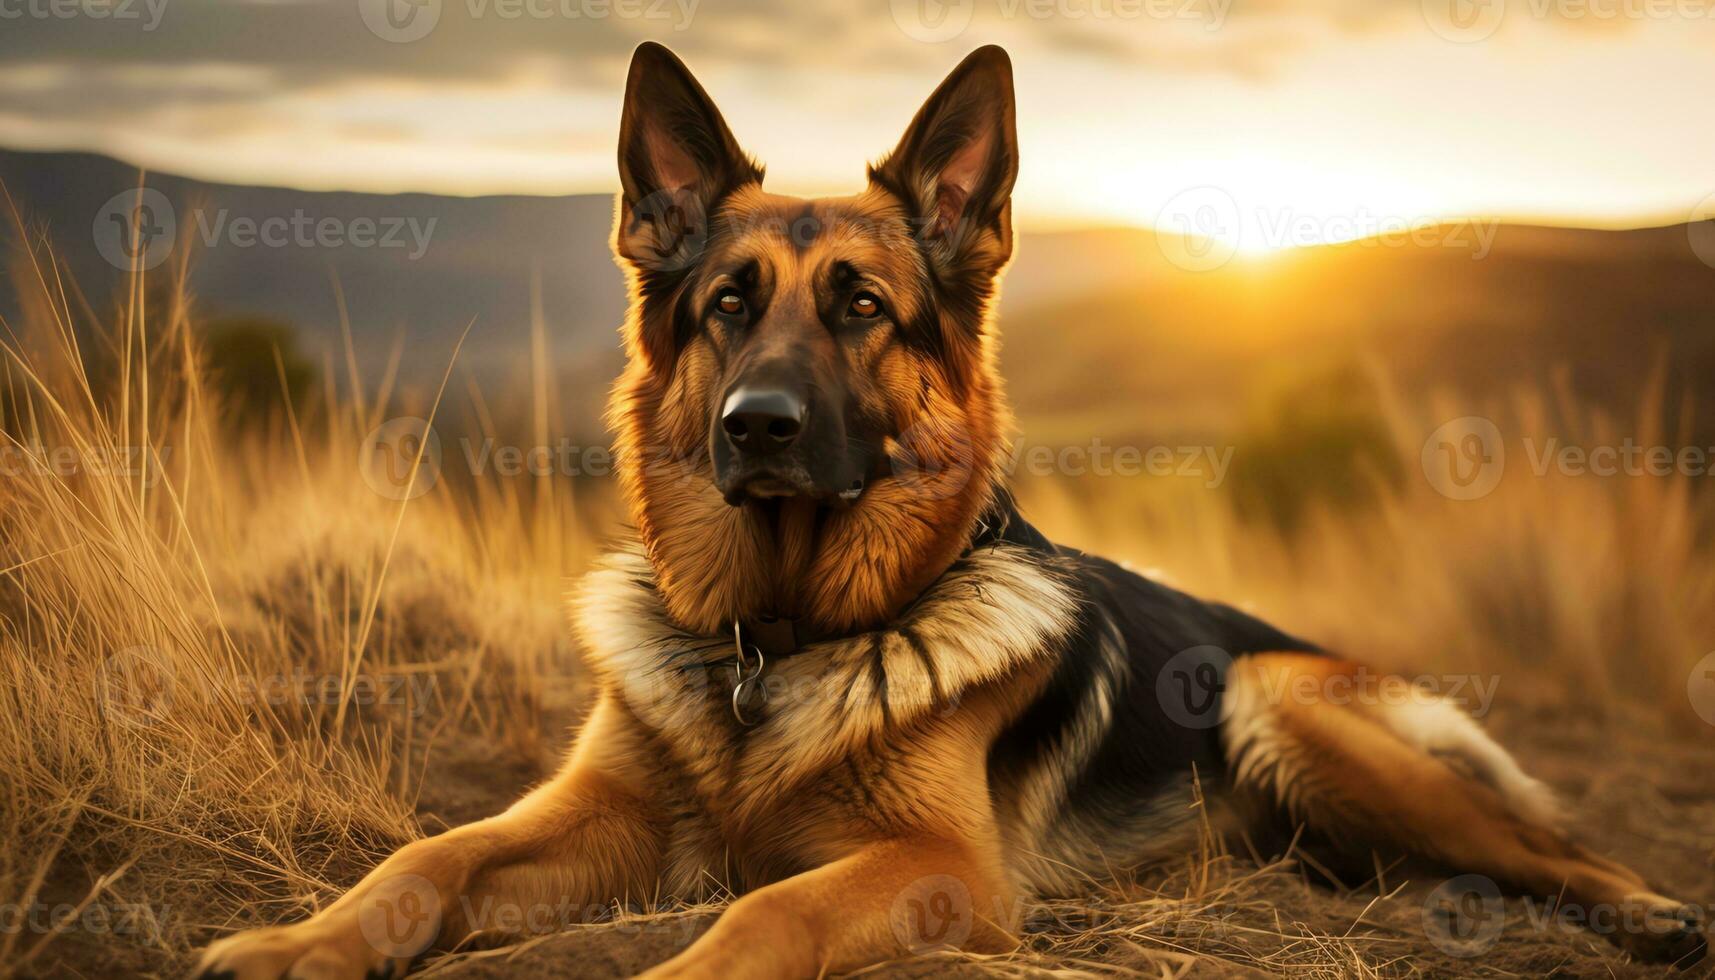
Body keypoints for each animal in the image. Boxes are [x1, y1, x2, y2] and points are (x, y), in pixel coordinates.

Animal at [197, 42, 1701, 974]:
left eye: (862, 307)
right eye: (726, 304)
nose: (756, 426)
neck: (776, 643)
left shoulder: (939, 869)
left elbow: (760, 920)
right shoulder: (592, 814)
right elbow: (425, 853)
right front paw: (293, 944)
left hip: (1284, 709)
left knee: (1547, 846)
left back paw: (1648, 913)